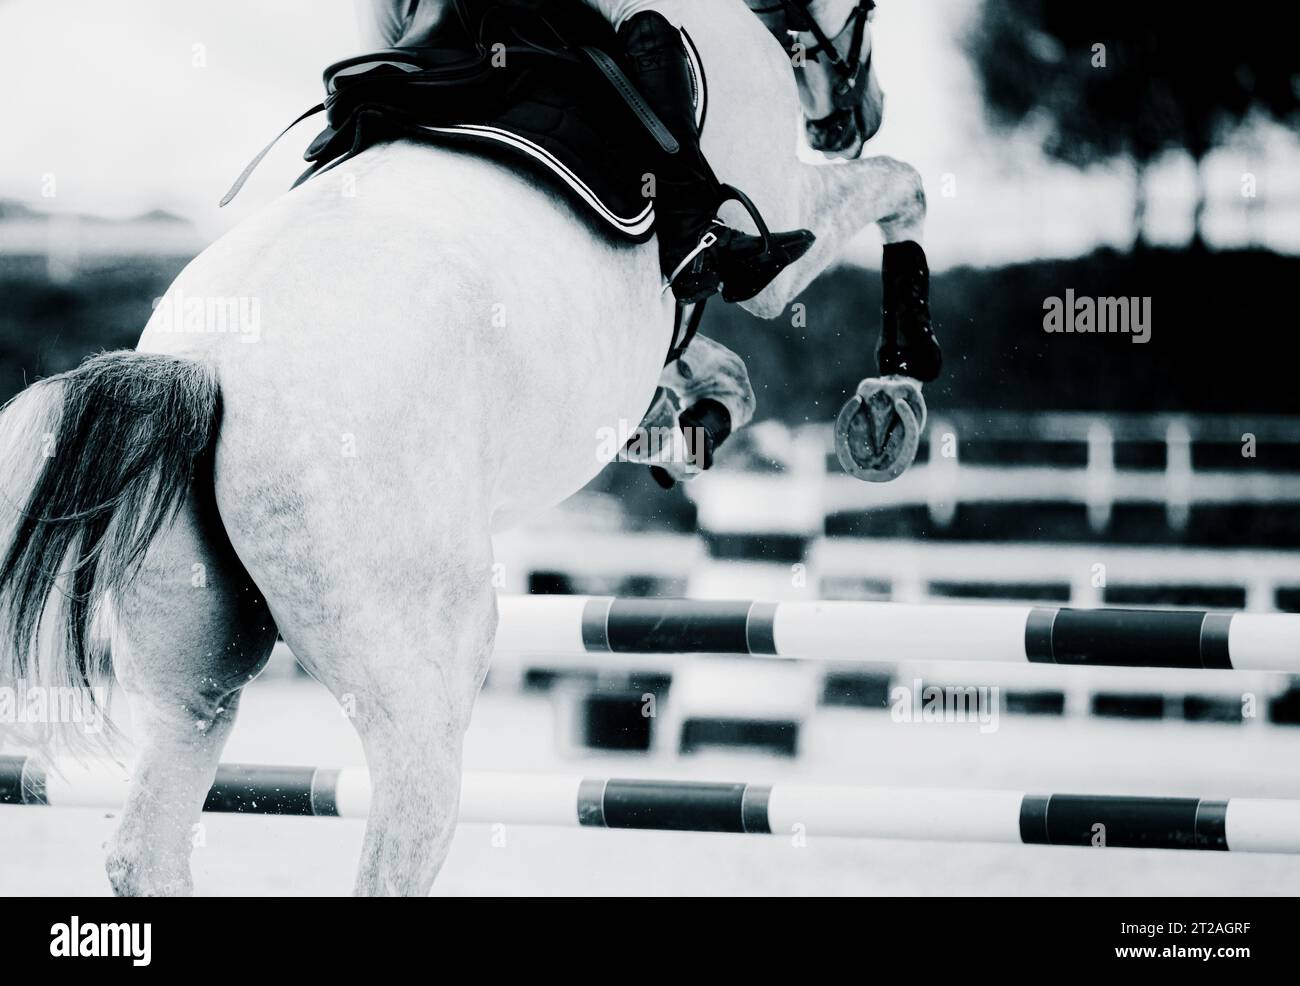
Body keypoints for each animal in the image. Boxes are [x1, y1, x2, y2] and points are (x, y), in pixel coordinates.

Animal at [0, 0, 935, 894]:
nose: (860, 114)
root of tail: (200, 364)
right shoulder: (783, 238)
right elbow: (904, 188)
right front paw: (894, 395)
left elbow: (719, 367)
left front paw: (686, 422)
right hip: (420, 674)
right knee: (397, 845)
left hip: (195, 676)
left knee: (150, 846)